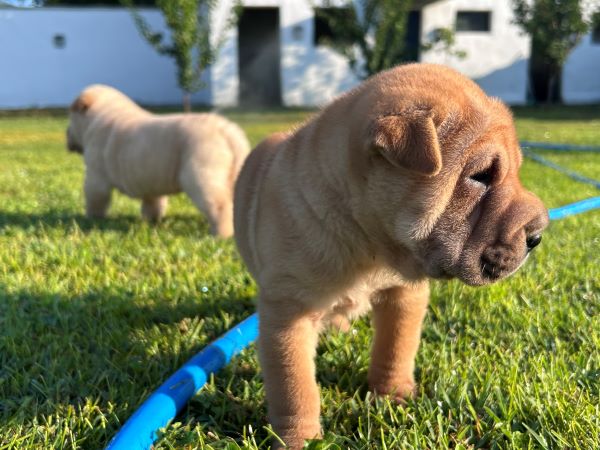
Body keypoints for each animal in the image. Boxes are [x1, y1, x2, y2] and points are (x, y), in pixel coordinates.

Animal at [67, 85, 250, 239]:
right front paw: (151, 220)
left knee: (220, 206)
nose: (67, 134)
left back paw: (221, 234)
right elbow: (153, 203)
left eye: (70, 121)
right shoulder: (150, 183)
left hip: (201, 175)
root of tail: (225, 130)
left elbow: (95, 199)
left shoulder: (96, 177)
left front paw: (92, 218)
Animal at [233, 64, 548, 450]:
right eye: (481, 176)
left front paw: (393, 395)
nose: (537, 235)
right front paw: (300, 440)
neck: (368, 244)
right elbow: (295, 386)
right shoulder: (288, 312)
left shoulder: (404, 294)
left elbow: (395, 346)